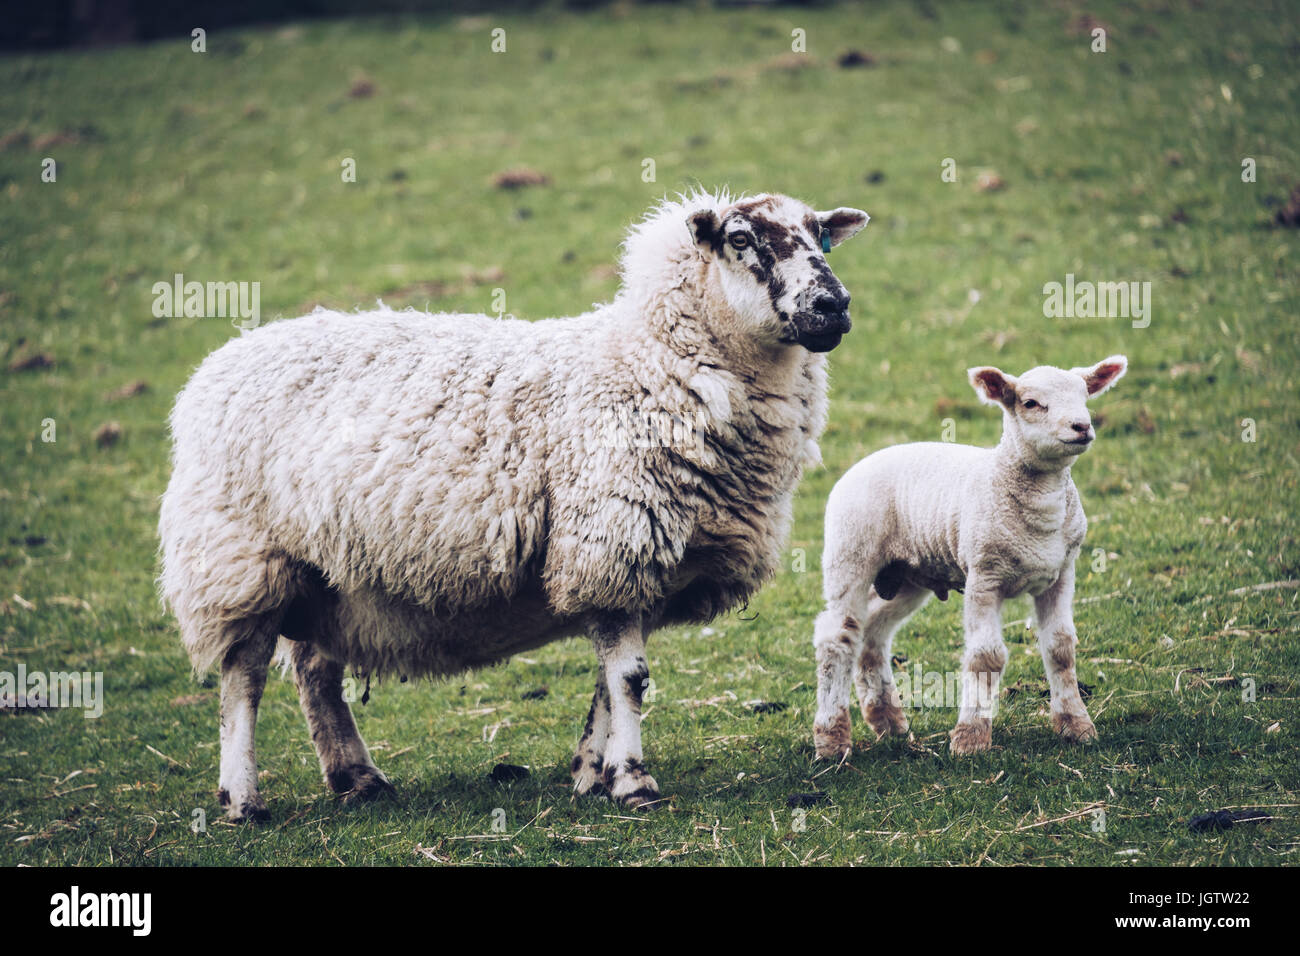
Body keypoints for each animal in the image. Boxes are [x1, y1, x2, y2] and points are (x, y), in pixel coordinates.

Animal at [157, 191, 868, 816]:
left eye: (823, 236)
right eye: (741, 240)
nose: (833, 306)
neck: (649, 363)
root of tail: (217, 364)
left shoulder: (632, 564)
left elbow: (608, 682)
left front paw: (591, 772)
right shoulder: (608, 544)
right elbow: (630, 679)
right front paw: (633, 782)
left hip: (328, 569)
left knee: (314, 672)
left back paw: (357, 778)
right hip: (239, 561)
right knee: (243, 679)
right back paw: (242, 799)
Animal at [811, 356, 1128, 759]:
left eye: (1085, 396)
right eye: (1030, 403)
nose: (1082, 426)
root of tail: (859, 464)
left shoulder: (1061, 574)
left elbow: (1061, 649)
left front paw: (1076, 725)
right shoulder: (984, 575)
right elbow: (986, 656)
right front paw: (971, 738)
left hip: (907, 574)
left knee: (873, 632)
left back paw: (888, 721)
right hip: (850, 551)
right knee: (838, 637)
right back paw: (832, 740)